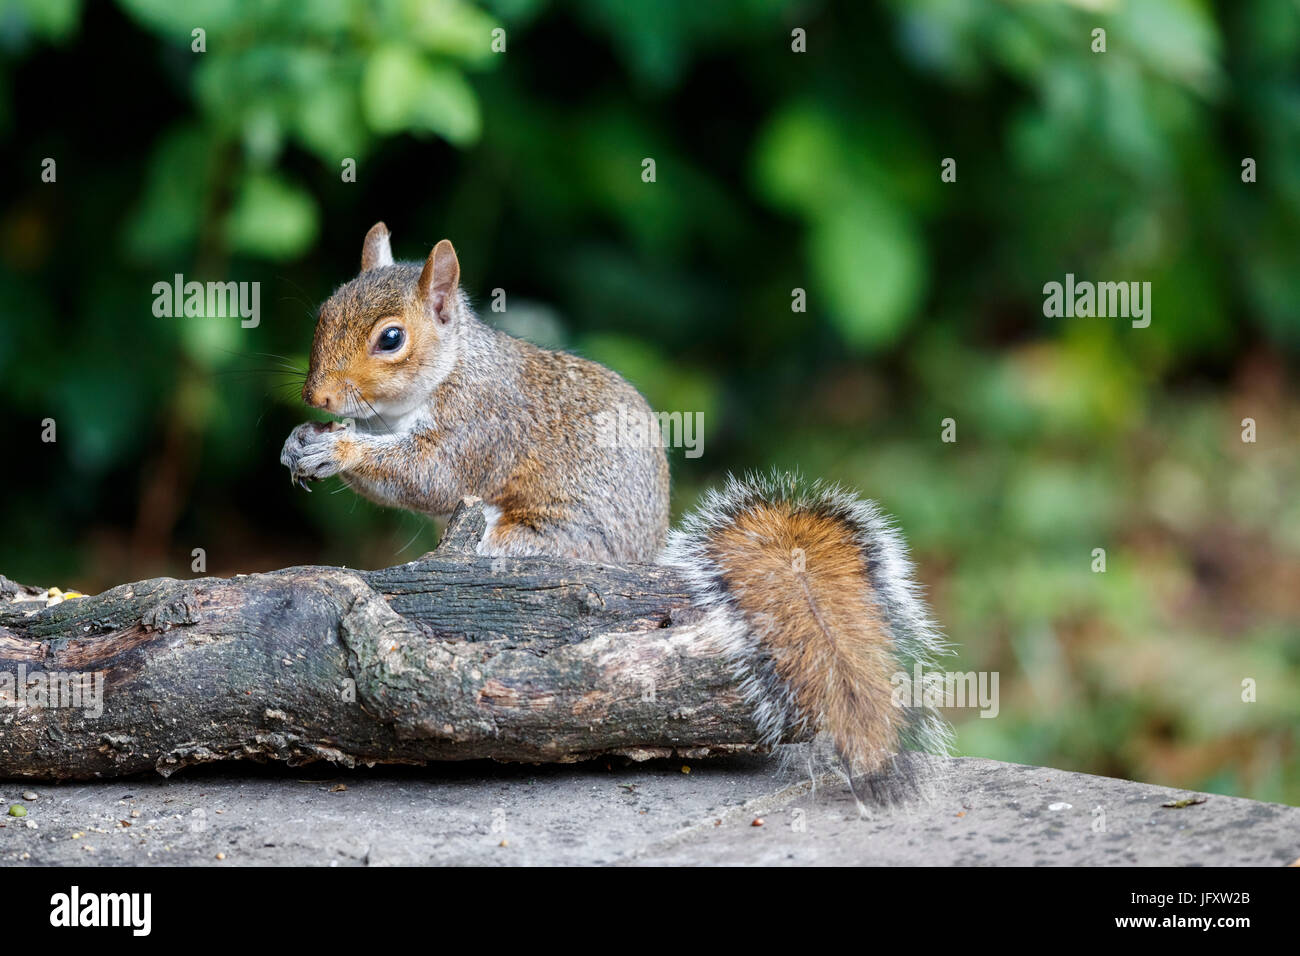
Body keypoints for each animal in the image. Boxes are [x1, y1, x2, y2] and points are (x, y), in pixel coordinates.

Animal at [282, 223, 946, 780]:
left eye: (391, 339)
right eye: (323, 313)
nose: (316, 396)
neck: (451, 369)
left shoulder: (478, 425)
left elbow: (429, 477)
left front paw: (338, 449)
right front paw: (302, 441)